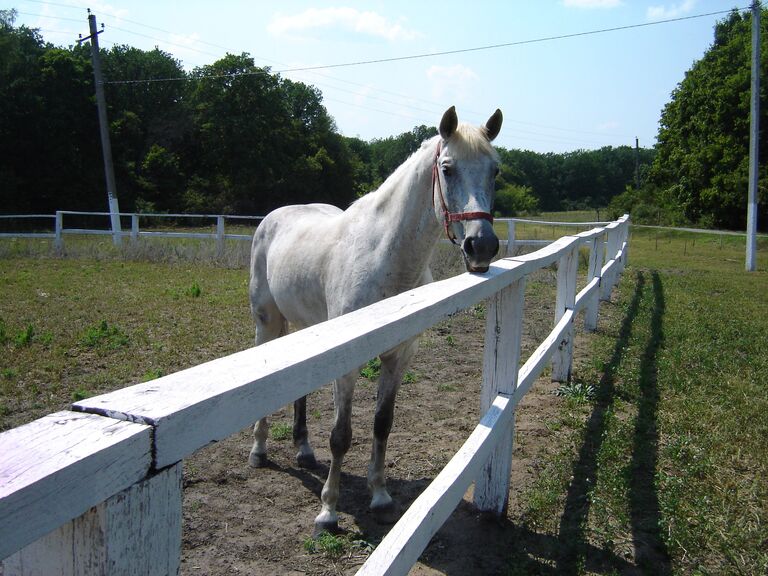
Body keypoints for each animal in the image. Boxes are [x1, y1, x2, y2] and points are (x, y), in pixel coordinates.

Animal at [248, 104, 504, 536]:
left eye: (495, 170)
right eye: (448, 168)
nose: (481, 245)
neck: (385, 257)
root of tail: (274, 217)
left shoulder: (399, 356)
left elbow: (382, 423)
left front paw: (381, 497)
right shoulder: (347, 363)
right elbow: (341, 435)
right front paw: (328, 512)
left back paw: (303, 449)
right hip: (267, 324)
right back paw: (259, 450)